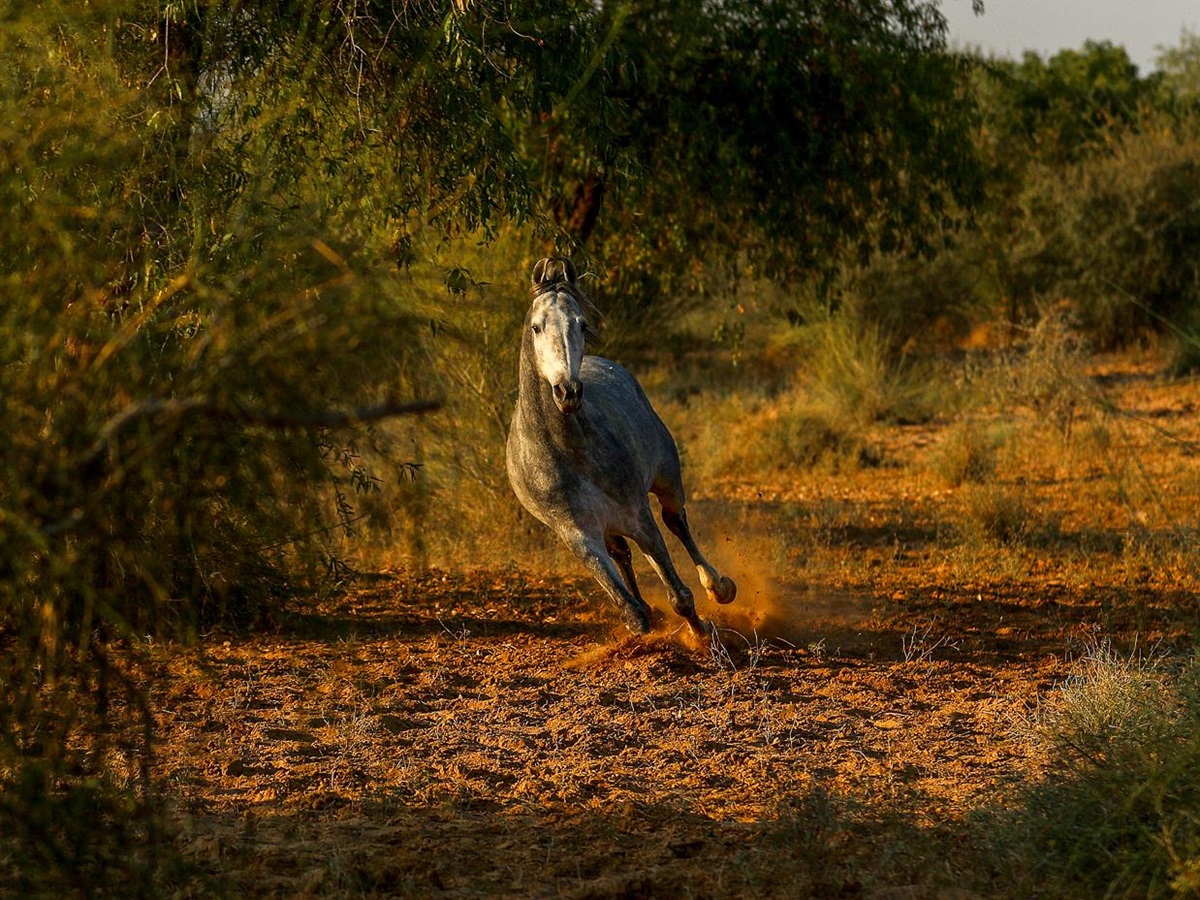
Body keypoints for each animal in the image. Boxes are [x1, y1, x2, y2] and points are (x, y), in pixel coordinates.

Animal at [505, 257, 736, 637]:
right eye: (537, 327)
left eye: (582, 324)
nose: (568, 392)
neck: (566, 450)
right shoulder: (580, 538)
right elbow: (632, 612)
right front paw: (650, 625)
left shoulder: (637, 515)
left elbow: (679, 594)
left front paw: (702, 635)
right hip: (610, 529)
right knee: (623, 555)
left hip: (666, 482)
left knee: (676, 521)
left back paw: (719, 587)